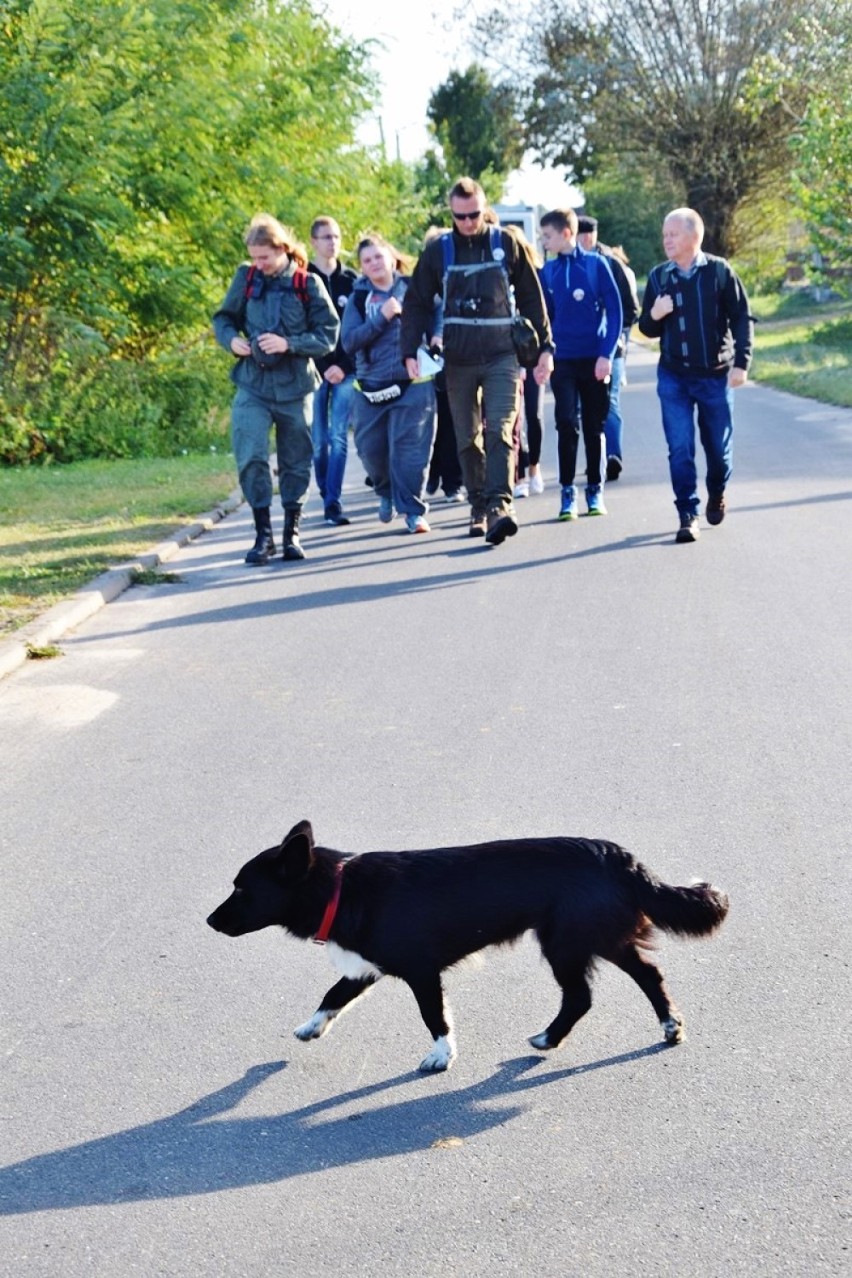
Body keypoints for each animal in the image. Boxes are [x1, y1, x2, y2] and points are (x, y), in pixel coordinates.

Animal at [208, 817, 735, 1068]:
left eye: (242, 890)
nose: (209, 921)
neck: (339, 887)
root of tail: (618, 856)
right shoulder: (365, 966)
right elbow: (332, 994)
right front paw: (311, 1027)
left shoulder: (420, 971)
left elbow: (433, 1016)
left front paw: (442, 1056)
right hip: (597, 934)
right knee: (647, 975)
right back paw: (668, 1026)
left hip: (568, 940)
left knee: (583, 995)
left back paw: (552, 1037)